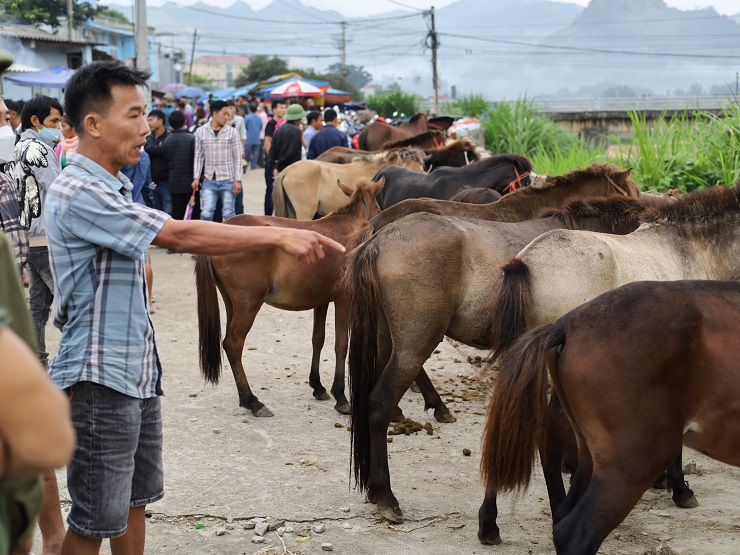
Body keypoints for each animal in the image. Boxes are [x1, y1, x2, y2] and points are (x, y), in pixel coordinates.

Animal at [195, 178, 394, 416]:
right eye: (379, 207)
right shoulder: (343, 301)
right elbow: (341, 344)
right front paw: (341, 396)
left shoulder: (322, 301)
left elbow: (318, 339)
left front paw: (318, 387)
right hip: (248, 305)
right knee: (234, 344)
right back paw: (253, 401)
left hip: (231, 303)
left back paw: (246, 399)